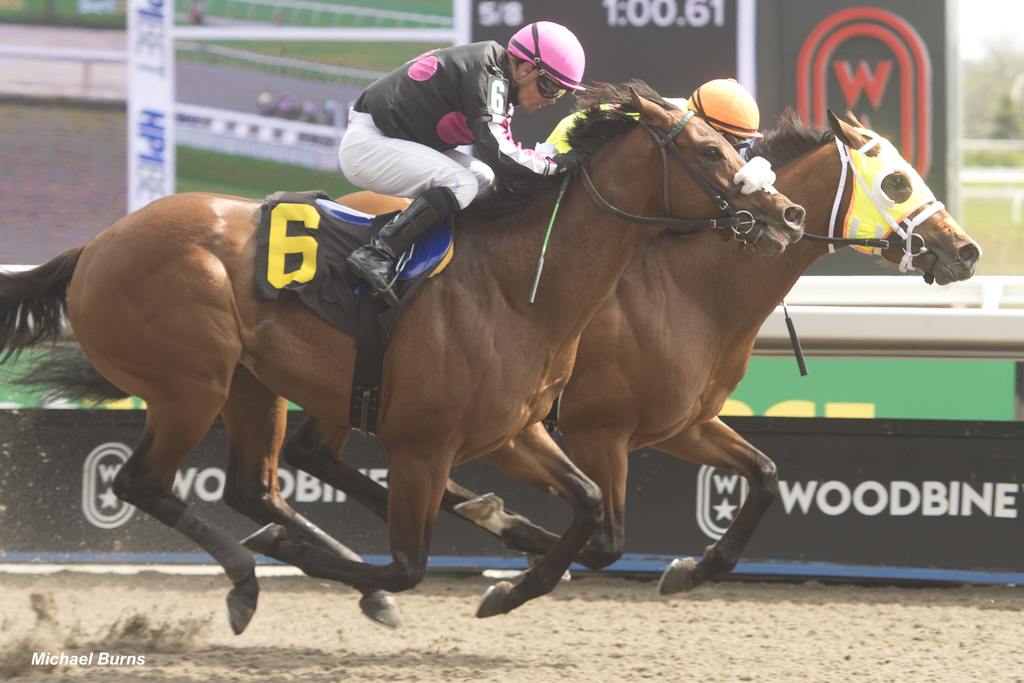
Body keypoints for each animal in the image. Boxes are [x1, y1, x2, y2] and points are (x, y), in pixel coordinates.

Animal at [0, 82, 802, 634]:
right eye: (712, 151)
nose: (785, 214)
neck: (521, 283)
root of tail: (97, 245)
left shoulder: (515, 431)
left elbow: (593, 512)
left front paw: (512, 580)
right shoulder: (427, 443)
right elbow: (410, 563)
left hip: (253, 384)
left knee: (254, 487)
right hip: (191, 382)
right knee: (144, 482)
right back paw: (252, 578)